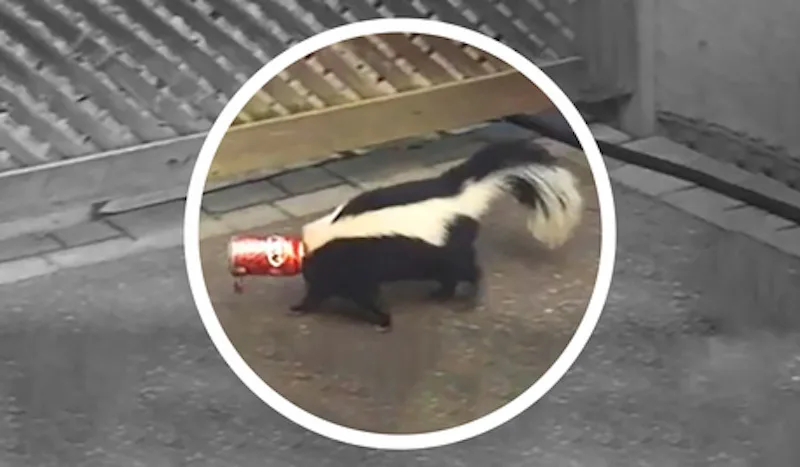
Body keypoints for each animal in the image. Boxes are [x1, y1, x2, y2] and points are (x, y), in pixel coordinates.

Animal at [288, 139, 580, 332]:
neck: (324, 239)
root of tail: (463, 195)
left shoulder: (351, 264)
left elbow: (362, 293)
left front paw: (383, 319)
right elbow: (330, 288)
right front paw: (303, 305)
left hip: (445, 246)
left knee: (467, 269)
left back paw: (471, 296)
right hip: (437, 255)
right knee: (449, 276)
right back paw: (440, 294)